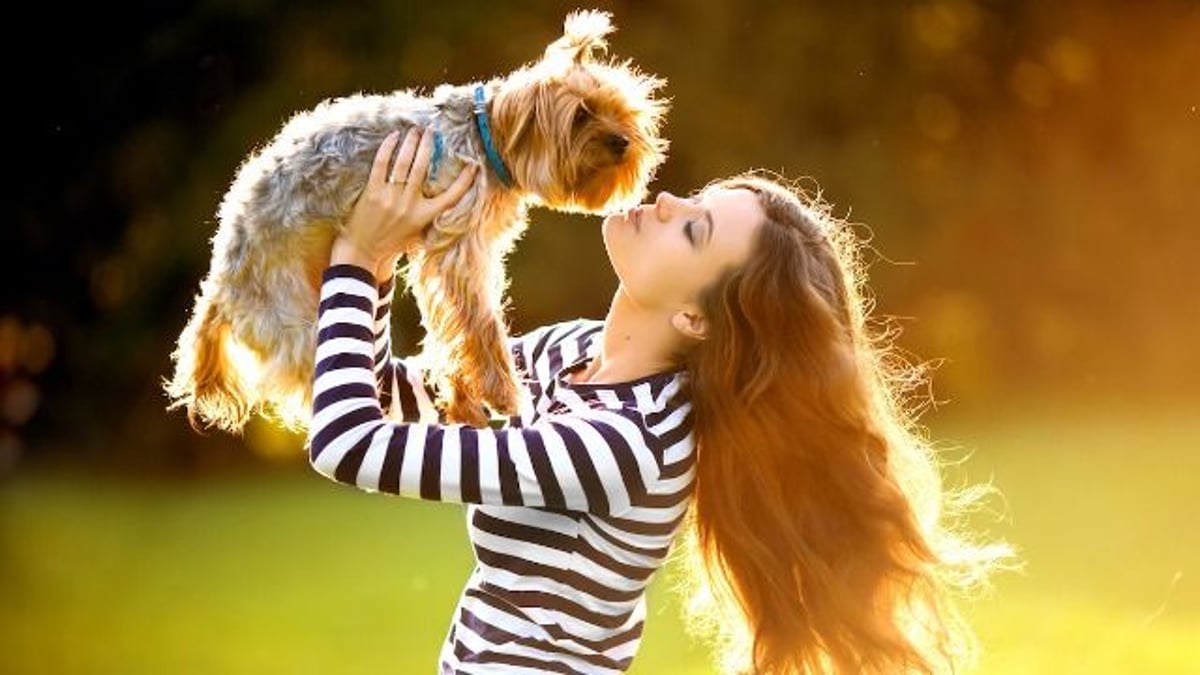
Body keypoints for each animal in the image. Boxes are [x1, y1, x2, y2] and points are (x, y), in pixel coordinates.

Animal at [165, 9, 672, 429]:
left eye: (623, 113)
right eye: (580, 116)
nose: (623, 142)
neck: (487, 138)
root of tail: (220, 287)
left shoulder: (456, 254)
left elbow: (452, 329)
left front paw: (464, 399)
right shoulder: (458, 248)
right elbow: (478, 324)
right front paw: (502, 393)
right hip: (292, 323)